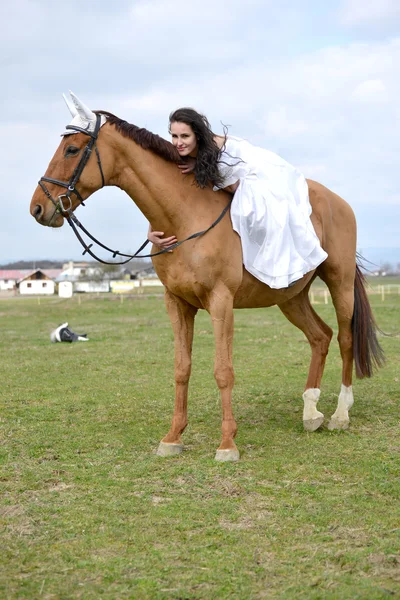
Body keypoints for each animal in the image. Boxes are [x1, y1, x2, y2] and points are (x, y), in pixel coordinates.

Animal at [29, 91, 382, 462]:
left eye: (72, 149)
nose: (38, 207)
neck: (185, 219)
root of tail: (338, 202)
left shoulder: (221, 303)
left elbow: (223, 371)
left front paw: (227, 444)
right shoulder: (177, 304)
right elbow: (181, 368)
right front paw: (172, 437)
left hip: (339, 283)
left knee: (344, 339)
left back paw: (340, 415)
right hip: (291, 297)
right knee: (320, 337)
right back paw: (311, 412)